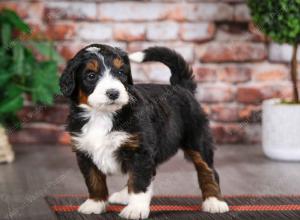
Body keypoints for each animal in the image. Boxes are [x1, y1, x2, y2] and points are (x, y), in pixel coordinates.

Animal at [60, 43, 230, 219]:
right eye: (91, 75)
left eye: (120, 73)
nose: (113, 93)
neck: (102, 115)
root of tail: (182, 87)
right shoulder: (84, 151)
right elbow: (94, 180)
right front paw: (95, 203)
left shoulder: (139, 151)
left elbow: (139, 182)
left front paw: (135, 209)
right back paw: (123, 195)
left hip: (197, 139)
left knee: (208, 170)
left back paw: (214, 201)